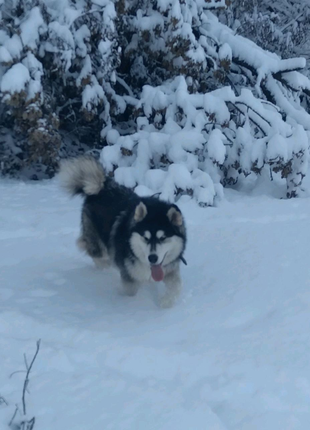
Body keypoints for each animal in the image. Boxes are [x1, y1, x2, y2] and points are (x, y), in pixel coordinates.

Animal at [59, 156, 188, 308]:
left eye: (163, 238)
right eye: (145, 237)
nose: (152, 258)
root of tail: (102, 188)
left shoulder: (170, 268)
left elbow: (177, 286)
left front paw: (166, 303)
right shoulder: (129, 275)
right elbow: (130, 291)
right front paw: (128, 304)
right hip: (97, 244)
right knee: (94, 251)